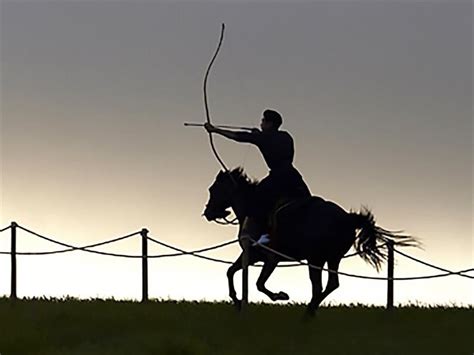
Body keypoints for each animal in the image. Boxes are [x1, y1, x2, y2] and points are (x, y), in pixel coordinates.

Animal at [202, 168, 416, 316]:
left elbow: (259, 284)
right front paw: (238, 302)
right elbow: (230, 272)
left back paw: (308, 312)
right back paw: (310, 312)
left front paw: (280, 296)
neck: (253, 210)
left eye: (213, 189)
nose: (208, 213)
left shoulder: (271, 259)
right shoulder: (253, 256)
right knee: (331, 284)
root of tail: (347, 218)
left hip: (316, 259)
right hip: (332, 258)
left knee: (319, 286)